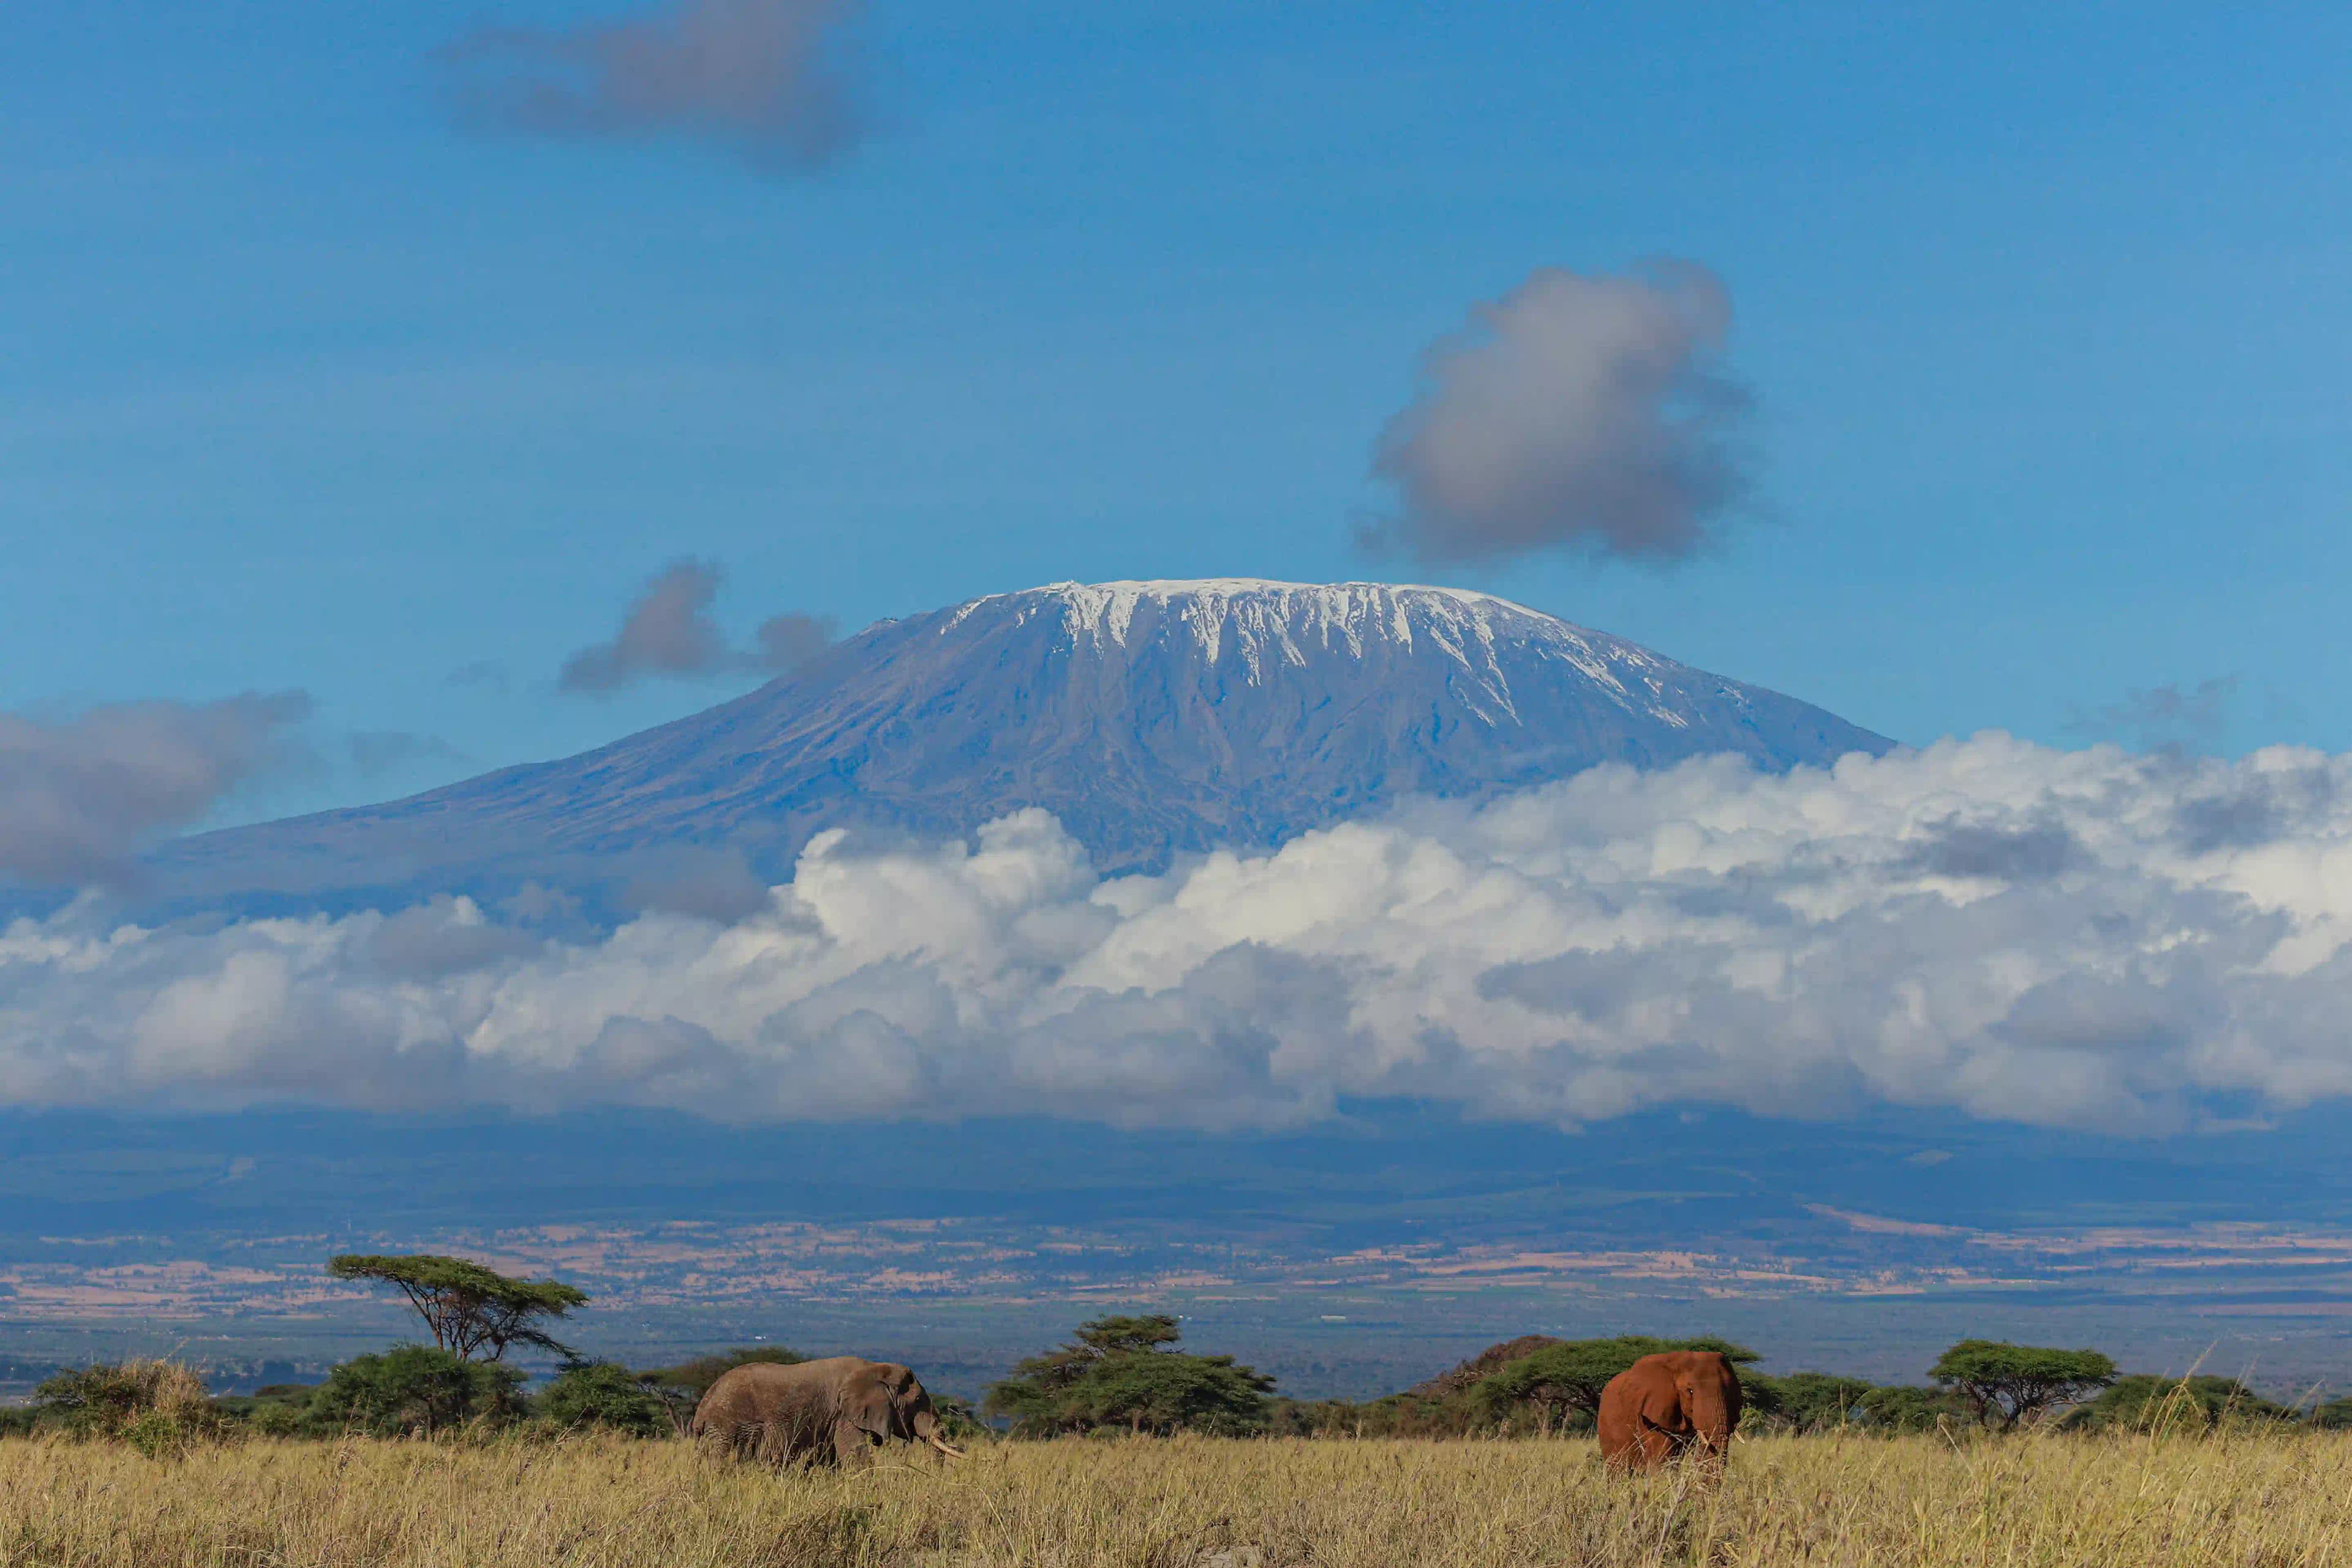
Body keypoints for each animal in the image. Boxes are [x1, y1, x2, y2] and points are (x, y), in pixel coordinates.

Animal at [687, 1363, 964, 1476]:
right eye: (917, 1401)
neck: (875, 1368)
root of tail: (701, 1410)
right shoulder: (844, 1415)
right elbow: (855, 1455)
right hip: (726, 1428)